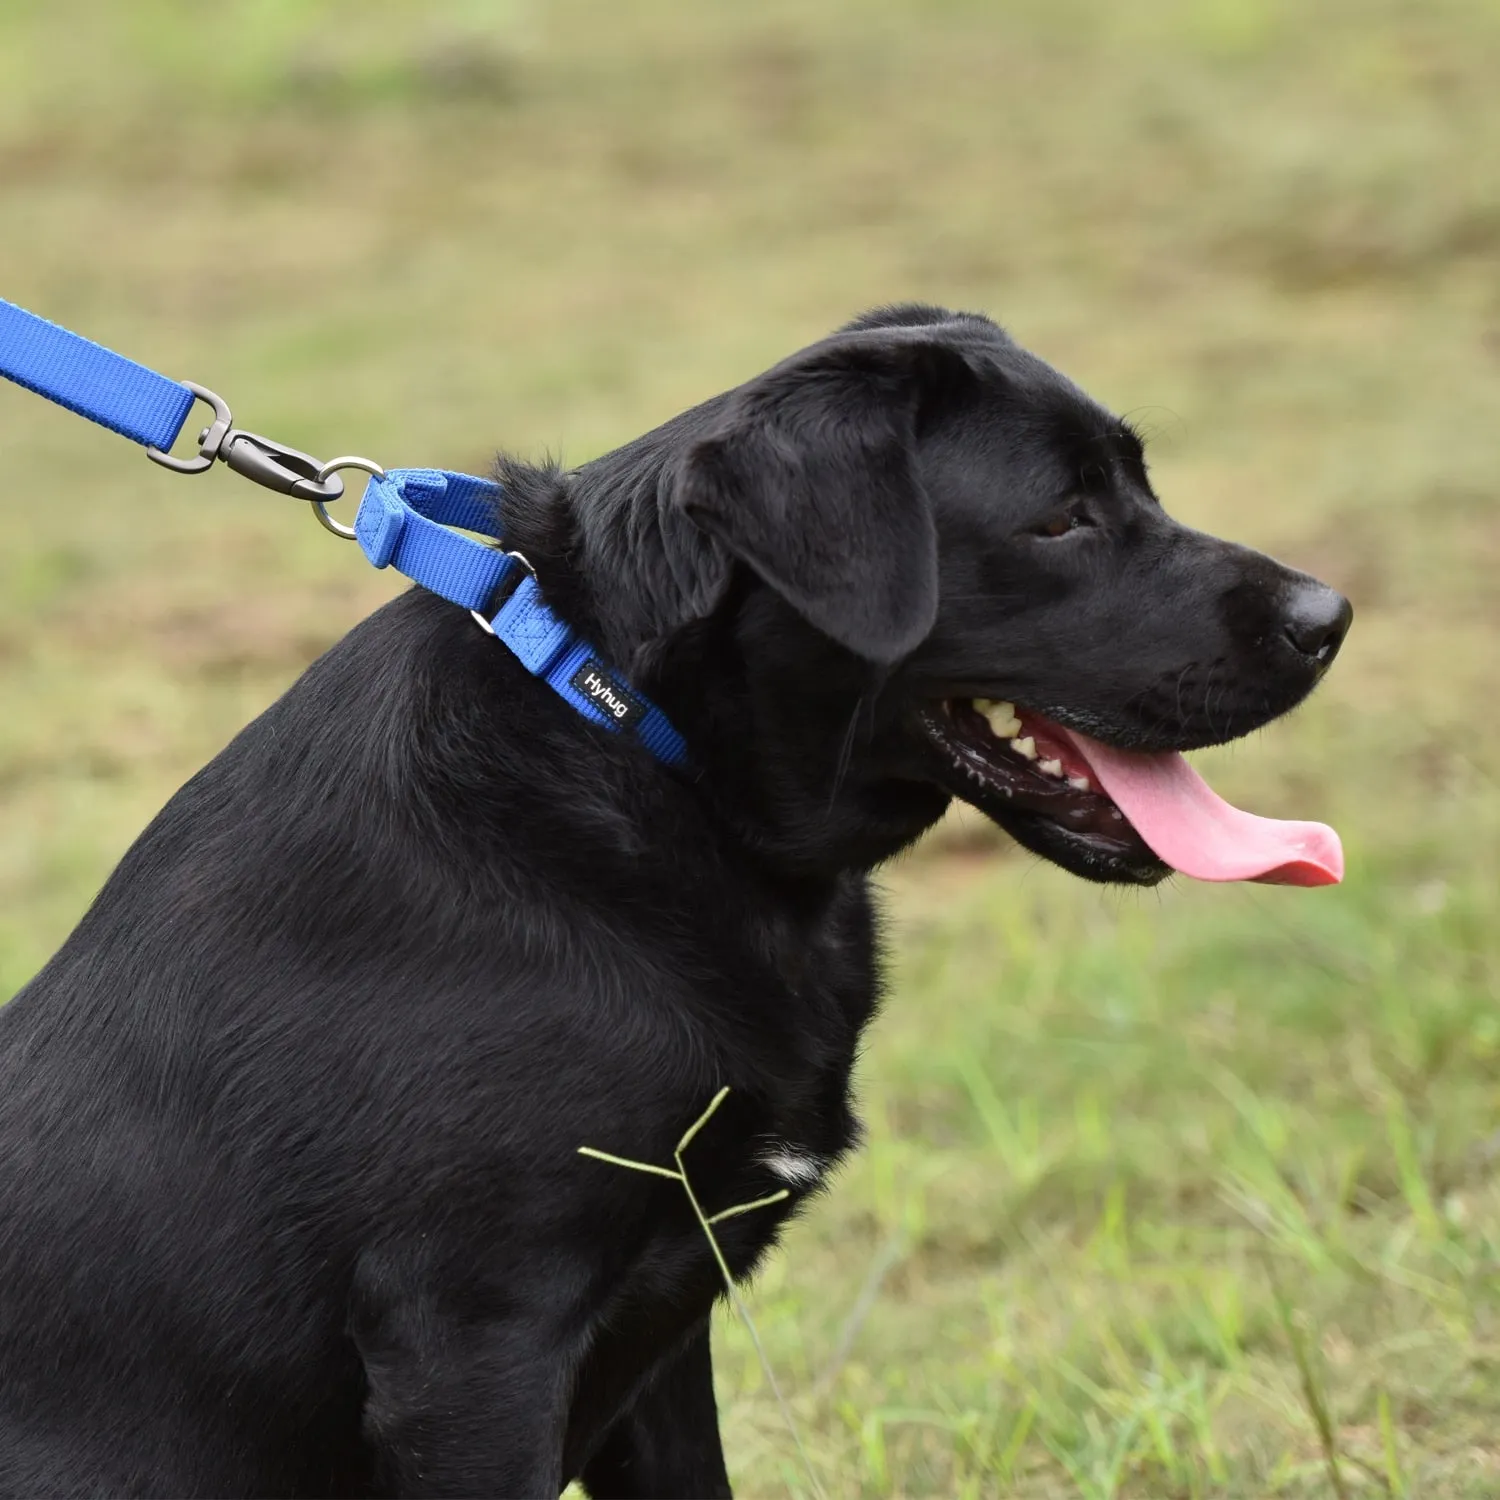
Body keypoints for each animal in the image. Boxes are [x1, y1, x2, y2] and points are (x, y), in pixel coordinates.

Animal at [0, 301, 1350, 1488]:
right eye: (1061, 519)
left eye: (1138, 487)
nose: (1329, 615)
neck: (639, 743)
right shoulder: (472, 1347)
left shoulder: (659, 1337)